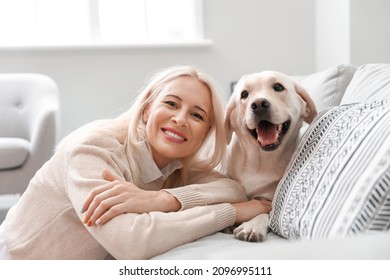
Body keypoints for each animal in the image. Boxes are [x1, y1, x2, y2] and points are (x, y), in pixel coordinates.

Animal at [224, 71, 318, 242]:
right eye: (244, 94)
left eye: (278, 87)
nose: (259, 104)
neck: (260, 162)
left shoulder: (269, 201)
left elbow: (265, 214)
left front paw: (253, 225)